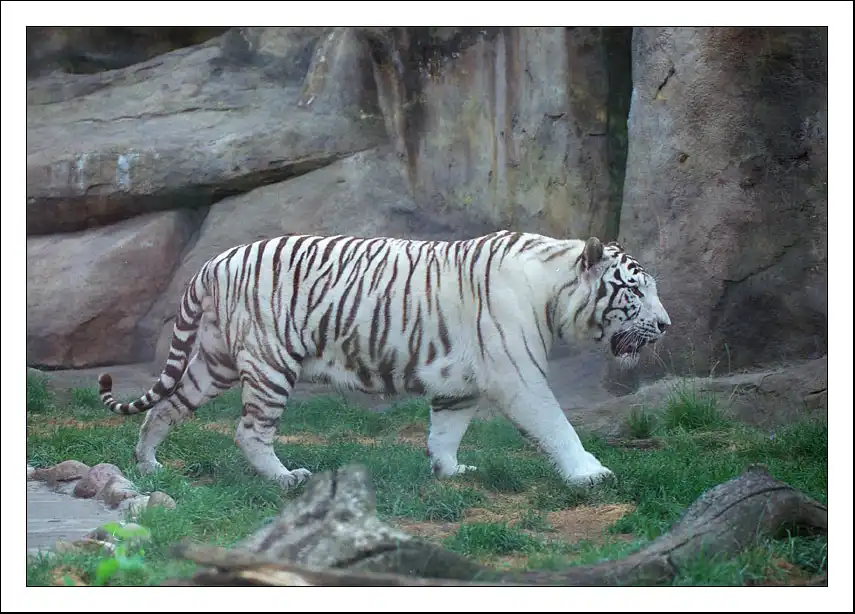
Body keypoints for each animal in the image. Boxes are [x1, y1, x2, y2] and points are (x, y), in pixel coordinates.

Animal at [98, 230, 670, 490]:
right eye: (636, 291)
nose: (665, 325)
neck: (553, 290)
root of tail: (214, 261)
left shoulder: (458, 383)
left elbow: (447, 431)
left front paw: (450, 470)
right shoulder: (519, 378)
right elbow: (557, 425)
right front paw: (590, 473)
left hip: (213, 361)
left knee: (166, 407)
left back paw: (148, 464)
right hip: (270, 363)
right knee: (249, 432)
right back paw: (286, 478)